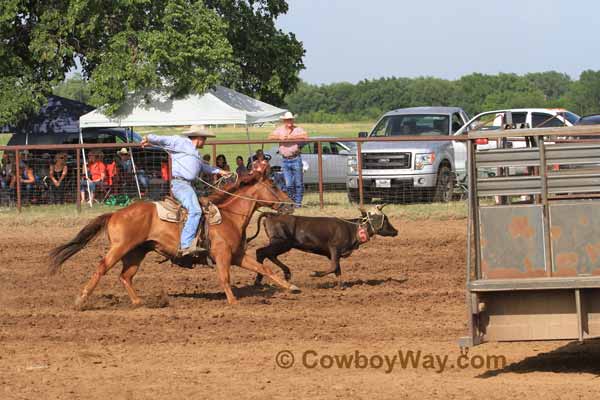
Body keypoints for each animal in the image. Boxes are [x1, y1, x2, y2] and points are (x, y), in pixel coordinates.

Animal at [50, 171, 298, 306]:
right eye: (273, 185)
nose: (290, 204)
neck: (229, 216)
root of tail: (115, 213)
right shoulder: (222, 255)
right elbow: (225, 278)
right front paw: (233, 301)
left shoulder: (237, 255)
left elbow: (265, 269)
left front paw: (291, 287)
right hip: (120, 248)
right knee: (102, 267)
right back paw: (81, 300)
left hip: (136, 251)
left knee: (125, 276)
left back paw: (139, 302)